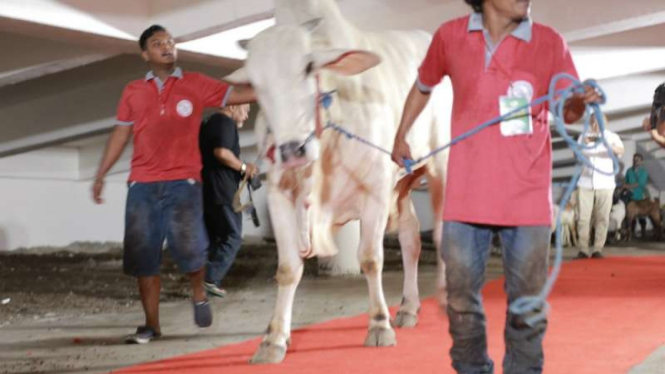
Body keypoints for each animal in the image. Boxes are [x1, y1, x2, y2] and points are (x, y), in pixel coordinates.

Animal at [224, 0, 452, 364]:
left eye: (308, 67)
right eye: (255, 84)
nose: (292, 150)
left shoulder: (375, 190)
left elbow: (370, 258)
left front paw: (378, 324)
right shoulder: (279, 197)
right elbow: (288, 269)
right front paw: (273, 339)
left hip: (440, 165)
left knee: (443, 232)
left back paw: (444, 298)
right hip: (402, 182)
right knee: (411, 237)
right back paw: (409, 307)